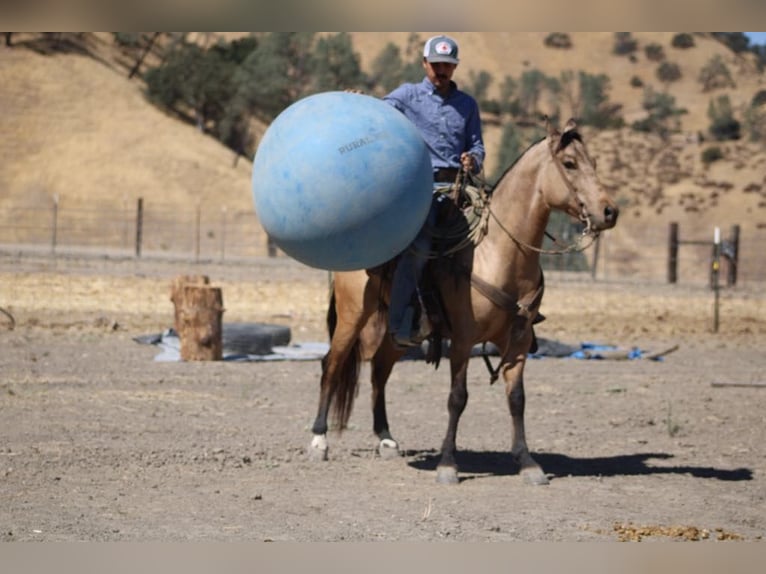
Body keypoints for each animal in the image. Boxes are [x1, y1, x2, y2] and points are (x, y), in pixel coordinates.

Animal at [307, 119, 619, 485]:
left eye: (594, 163)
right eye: (569, 164)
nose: (609, 211)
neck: (499, 253)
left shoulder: (518, 341)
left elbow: (517, 398)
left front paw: (527, 463)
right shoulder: (462, 340)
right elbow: (458, 398)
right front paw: (447, 464)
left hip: (399, 331)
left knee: (379, 370)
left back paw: (385, 438)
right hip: (352, 315)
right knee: (332, 365)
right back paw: (319, 440)